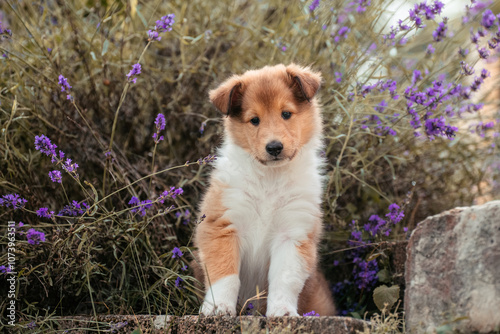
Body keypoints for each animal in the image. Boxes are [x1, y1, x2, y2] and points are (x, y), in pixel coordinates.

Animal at [193, 64, 334, 318]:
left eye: (286, 114)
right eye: (254, 120)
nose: (274, 147)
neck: (270, 179)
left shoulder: (293, 233)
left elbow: (284, 278)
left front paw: (283, 312)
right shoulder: (222, 225)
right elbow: (225, 274)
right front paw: (219, 308)